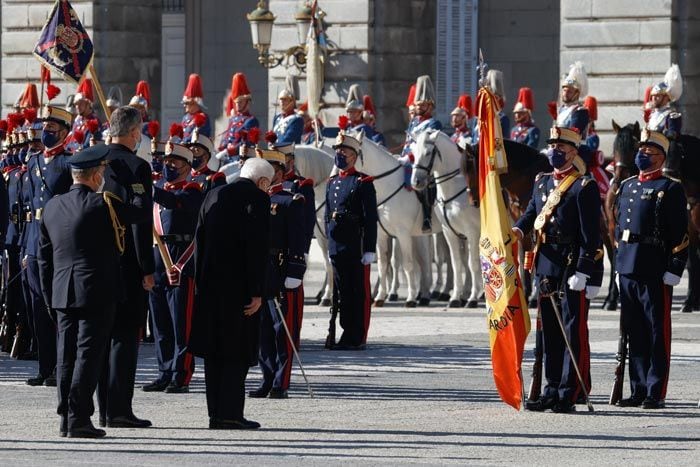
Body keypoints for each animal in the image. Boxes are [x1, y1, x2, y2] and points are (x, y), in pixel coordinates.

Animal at [410, 131, 482, 308]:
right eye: (413, 153)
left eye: (428, 152)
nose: (416, 182)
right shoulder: (449, 232)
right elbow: (457, 264)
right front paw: (456, 298)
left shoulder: (473, 232)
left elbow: (473, 263)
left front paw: (472, 298)